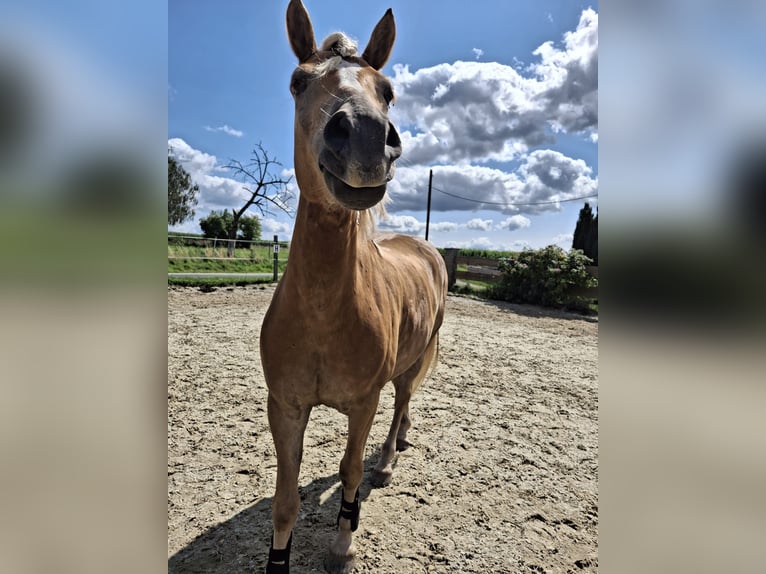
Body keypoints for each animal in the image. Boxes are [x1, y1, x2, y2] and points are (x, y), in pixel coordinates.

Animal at [260, 1, 448, 572]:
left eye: (387, 90)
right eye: (298, 82)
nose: (365, 134)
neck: (324, 314)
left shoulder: (364, 403)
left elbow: (348, 470)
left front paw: (344, 544)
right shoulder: (286, 407)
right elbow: (285, 500)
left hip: (413, 361)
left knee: (403, 405)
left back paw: (387, 461)